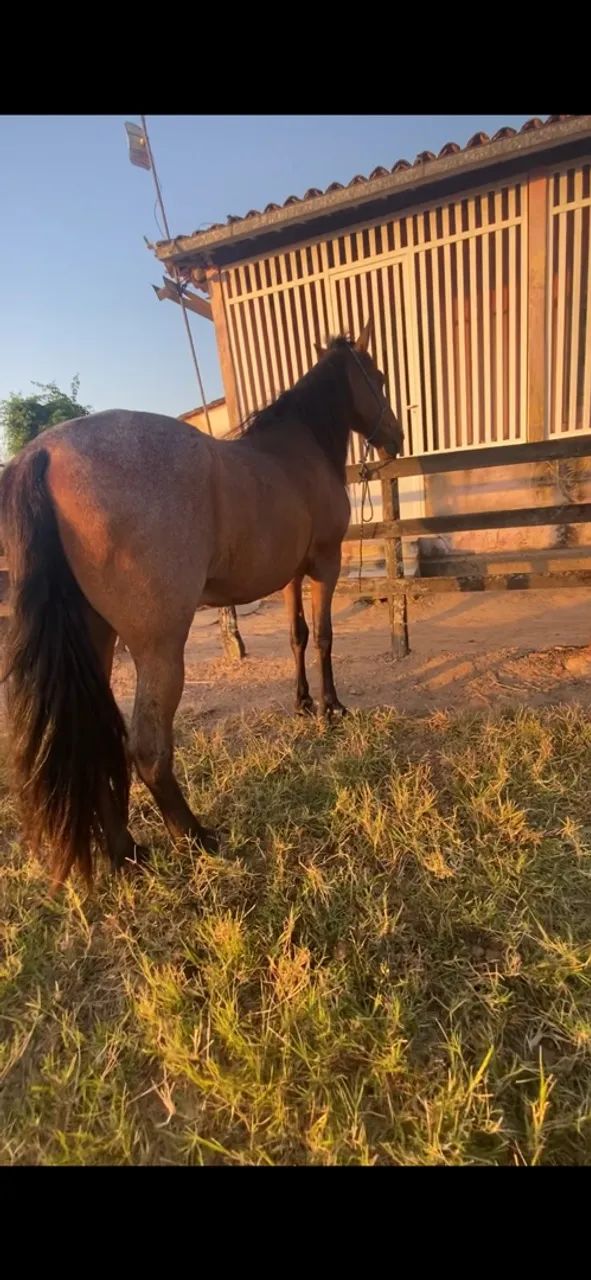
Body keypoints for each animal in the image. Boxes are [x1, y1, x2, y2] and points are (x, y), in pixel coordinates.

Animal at [0, 322, 403, 886]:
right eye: (378, 377)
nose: (396, 438)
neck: (298, 451)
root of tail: (44, 452)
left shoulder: (289, 576)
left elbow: (297, 636)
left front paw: (303, 704)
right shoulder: (325, 565)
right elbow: (324, 637)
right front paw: (331, 708)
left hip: (96, 640)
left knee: (97, 739)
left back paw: (126, 853)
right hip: (159, 648)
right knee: (148, 749)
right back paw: (196, 837)